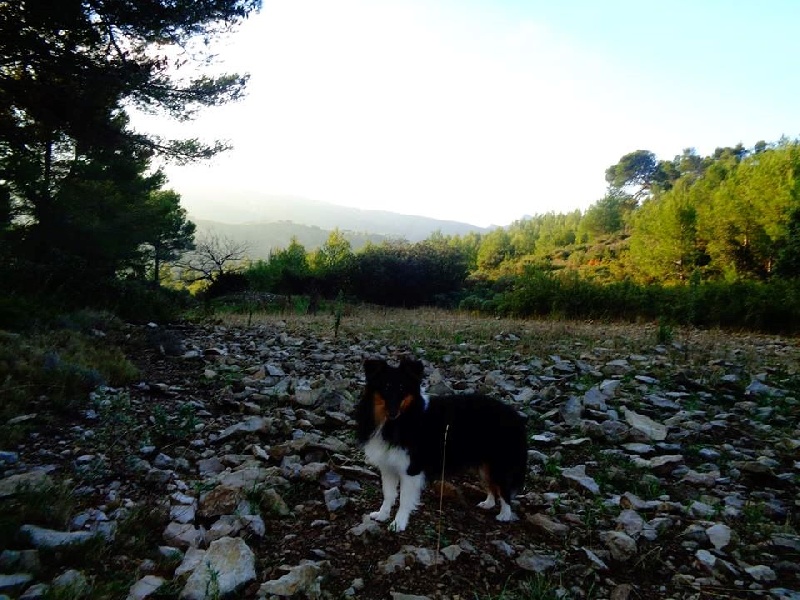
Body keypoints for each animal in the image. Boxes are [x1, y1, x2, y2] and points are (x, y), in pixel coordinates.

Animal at [354, 358, 528, 532]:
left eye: (403, 387)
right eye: (386, 387)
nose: (393, 412)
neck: (400, 420)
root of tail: (515, 415)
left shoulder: (411, 469)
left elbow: (404, 499)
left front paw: (398, 524)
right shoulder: (388, 466)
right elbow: (388, 494)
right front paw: (382, 515)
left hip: (498, 463)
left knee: (504, 489)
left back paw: (505, 515)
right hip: (484, 464)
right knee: (492, 485)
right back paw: (488, 503)